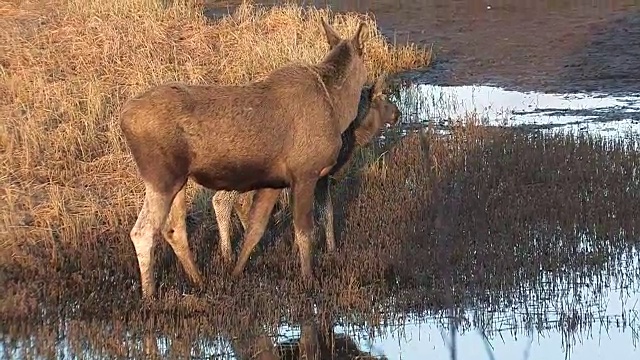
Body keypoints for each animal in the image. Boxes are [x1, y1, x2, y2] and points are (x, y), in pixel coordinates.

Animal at [120, 17, 368, 298]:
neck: (337, 106)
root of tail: (123, 119)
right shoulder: (305, 173)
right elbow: (305, 231)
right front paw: (308, 280)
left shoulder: (274, 182)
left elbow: (255, 230)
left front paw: (237, 272)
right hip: (160, 177)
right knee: (143, 232)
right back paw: (150, 294)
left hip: (178, 180)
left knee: (174, 229)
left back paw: (198, 280)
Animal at [211, 74, 400, 264]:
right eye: (384, 96)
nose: (398, 113)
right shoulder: (319, 175)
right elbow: (327, 213)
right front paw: (331, 249)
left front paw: (296, 248)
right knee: (221, 200)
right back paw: (227, 255)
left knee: (241, 202)